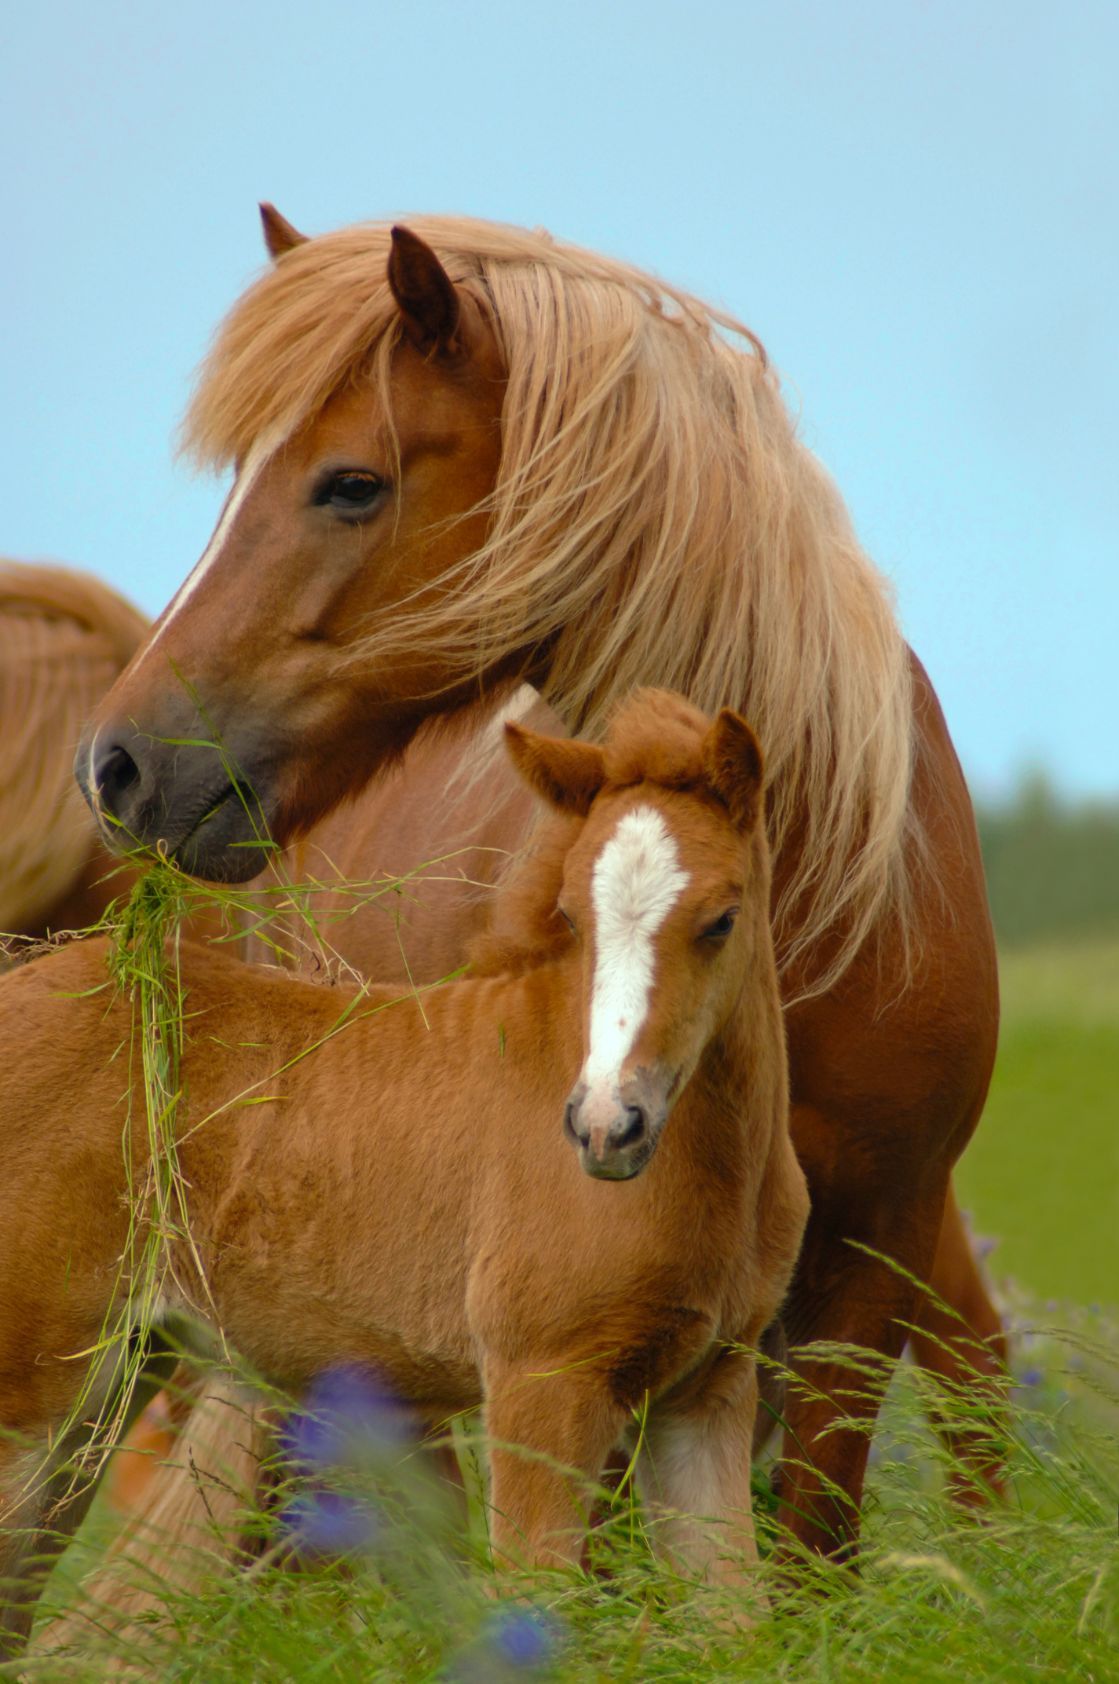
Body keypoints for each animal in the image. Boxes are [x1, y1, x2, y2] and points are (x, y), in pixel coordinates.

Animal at [0, 691, 808, 1657]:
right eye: (572, 917)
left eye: (721, 919)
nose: (606, 1126)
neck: (713, 1174)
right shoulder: (542, 1385)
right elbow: (535, 1605)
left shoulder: (706, 1393)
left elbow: (738, 1624)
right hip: (32, 1396)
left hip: (105, 1388)